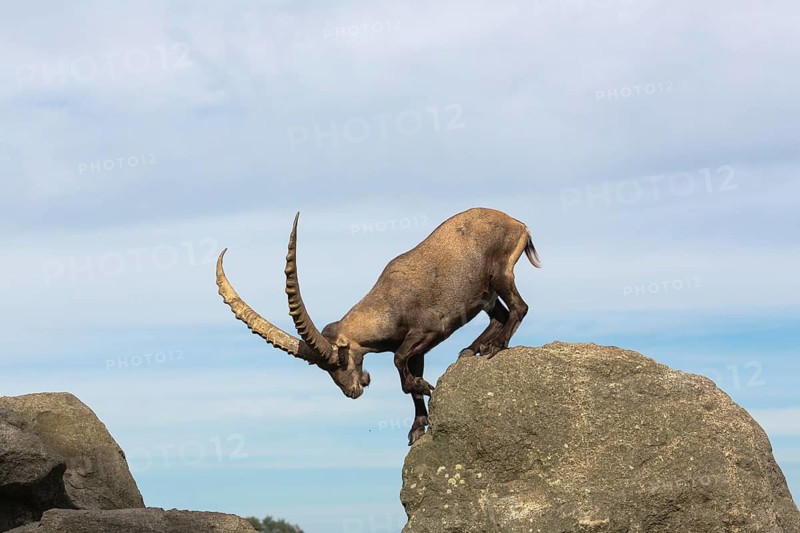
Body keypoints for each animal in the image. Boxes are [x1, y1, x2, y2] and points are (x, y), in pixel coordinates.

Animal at [216, 207, 541, 445]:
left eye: (340, 359)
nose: (352, 391)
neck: (386, 305)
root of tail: (518, 224)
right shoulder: (417, 350)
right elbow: (409, 378)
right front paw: (417, 427)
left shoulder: (429, 332)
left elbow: (400, 364)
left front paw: (426, 387)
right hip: (486, 293)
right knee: (499, 315)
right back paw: (474, 348)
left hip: (501, 273)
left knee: (519, 308)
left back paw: (494, 346)